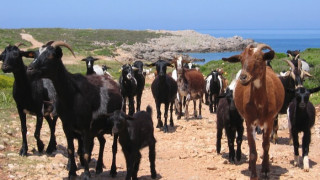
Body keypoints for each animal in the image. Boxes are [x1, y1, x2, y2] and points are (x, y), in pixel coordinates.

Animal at [26, 40, 122, 179]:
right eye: (35, 54)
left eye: (50, 56)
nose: (29, 69)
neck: (72, 94)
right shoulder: (67, 126)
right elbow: (71, 149)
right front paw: (72, 172)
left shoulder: (86, 127)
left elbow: (86, 152)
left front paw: (86, 174)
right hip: (99, 127)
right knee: (103, 142)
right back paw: (98, 167)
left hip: (115, 124)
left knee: (114, 146)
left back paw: (113, 170)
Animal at [222, 44, 284, 180]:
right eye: (241, 59)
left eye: (259, 59)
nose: (243, 77)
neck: (260, 103)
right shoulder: (249, 121)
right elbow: (252, 150)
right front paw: (254, 174)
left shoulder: (269, 120)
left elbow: (266, 146)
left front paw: (265, 171)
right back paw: (251, 166)